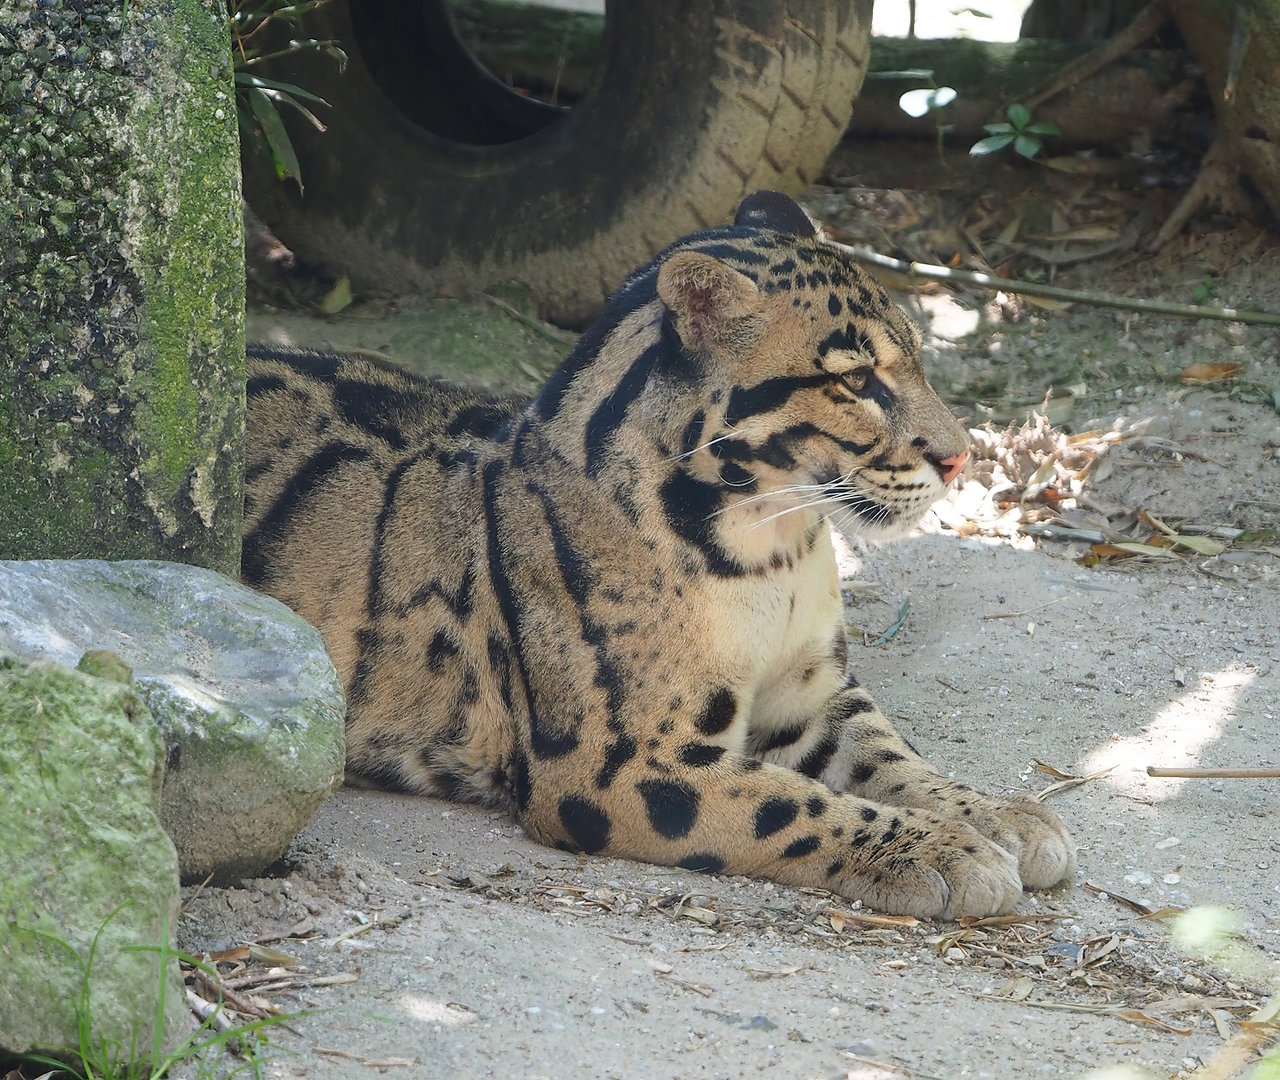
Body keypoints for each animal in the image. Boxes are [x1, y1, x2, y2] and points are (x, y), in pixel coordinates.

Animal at [243, 190, 1075, 919]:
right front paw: (938, 850)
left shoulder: (815, 690)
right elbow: (791, 804)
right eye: (856, 380)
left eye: (918, 360)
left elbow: (892, 755)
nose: (961, 458)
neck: (774, 548)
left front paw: (995, 812)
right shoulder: (618, 766)